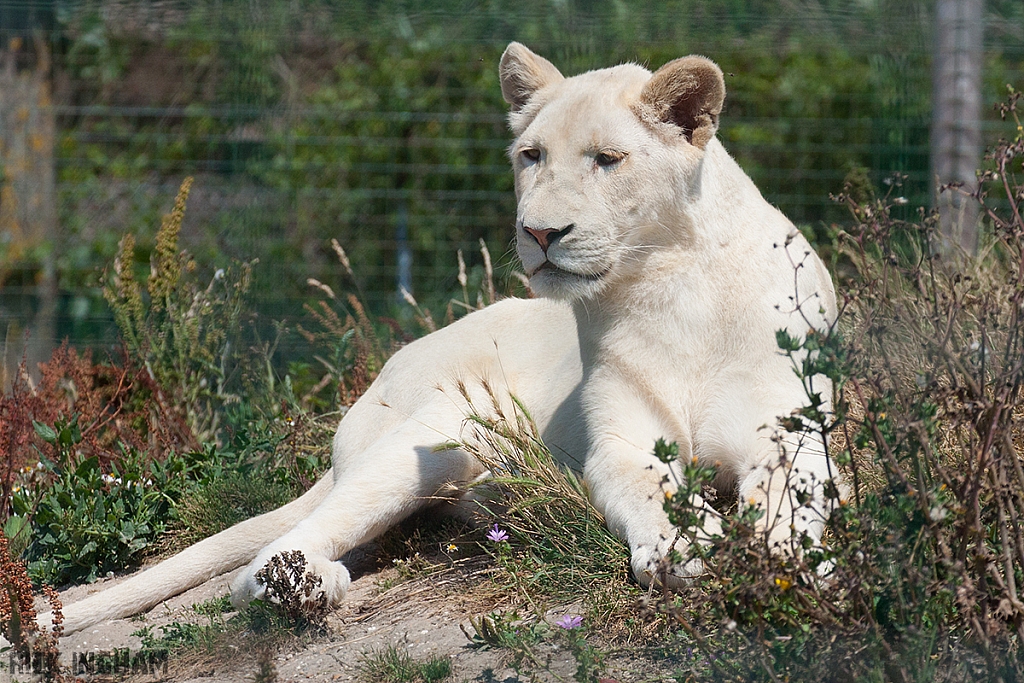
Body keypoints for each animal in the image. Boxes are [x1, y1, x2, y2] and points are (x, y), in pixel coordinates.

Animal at [48, 44, 835, 634]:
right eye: (531, 155)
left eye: (607, 160)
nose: (540, 232)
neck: (670, 281)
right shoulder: (620, 440)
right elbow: (651, 487)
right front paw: (689, 550)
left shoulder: (792, 425)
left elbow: (800, 492)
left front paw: (792, 559)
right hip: (445, 434)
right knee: (262, 561)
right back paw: (307, 585)